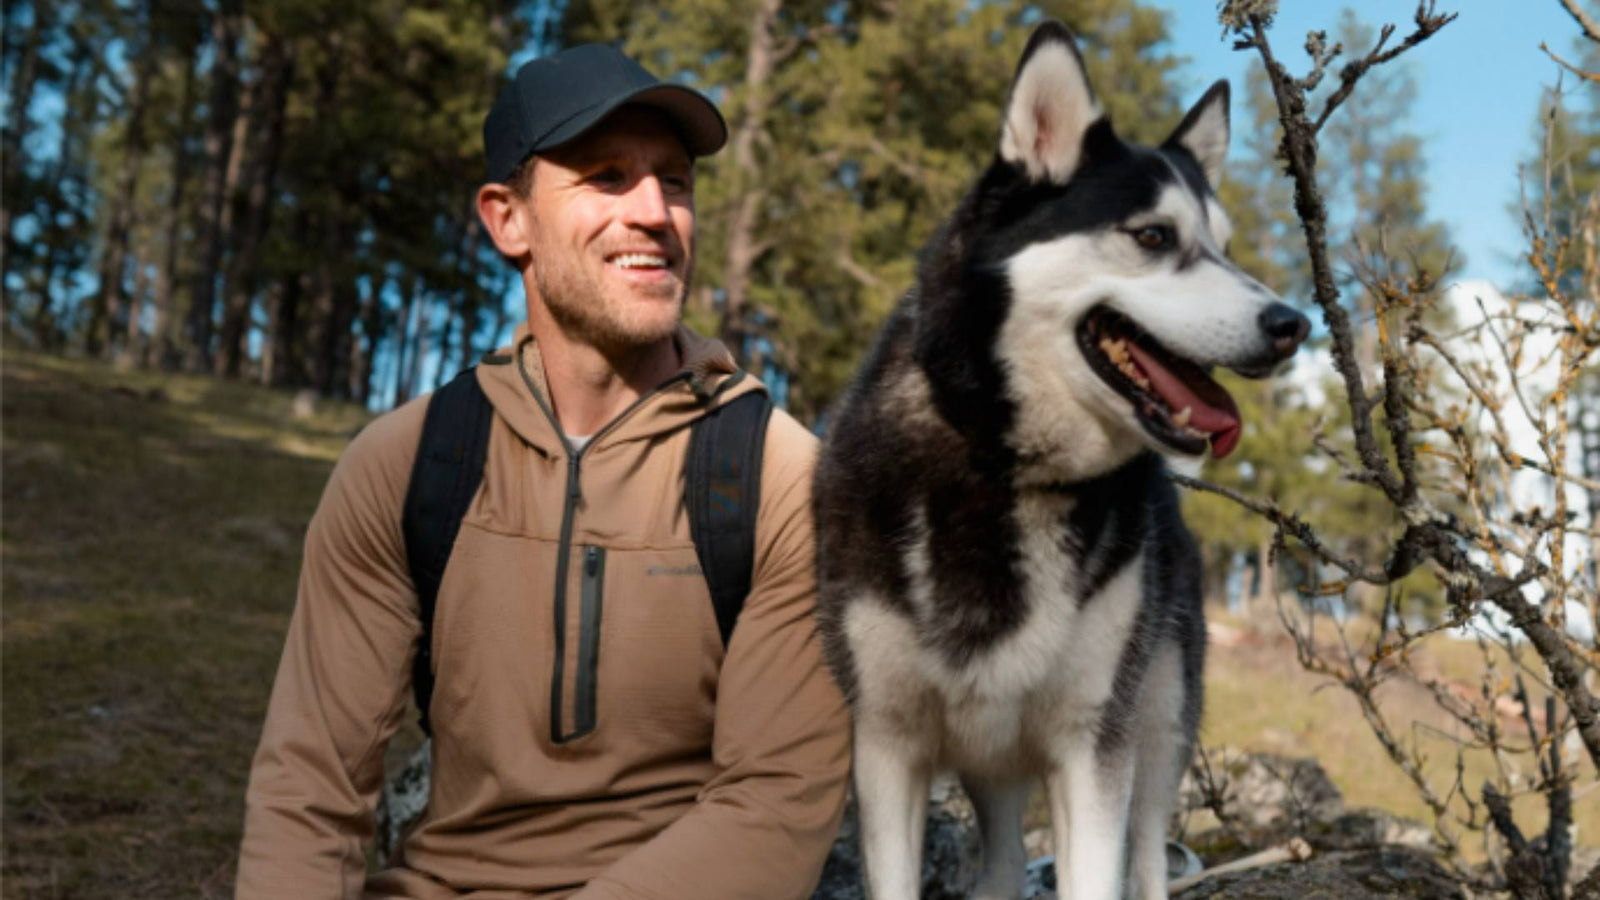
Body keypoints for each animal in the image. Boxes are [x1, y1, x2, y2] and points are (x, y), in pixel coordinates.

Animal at [819, 19, 1305, 896]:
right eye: (1153, 236)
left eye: (1225, 247)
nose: (1294, 325)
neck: (1006, 471)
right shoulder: (885, 746)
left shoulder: (1092, 744)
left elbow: (1098, 870)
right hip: (996, 757)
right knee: (1007, 861)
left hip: (1158, 720)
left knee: (1144, 854)